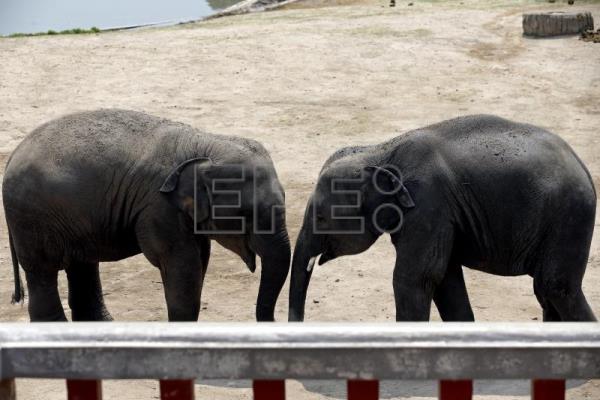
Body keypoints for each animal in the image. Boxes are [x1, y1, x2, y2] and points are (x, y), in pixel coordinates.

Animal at [1, 109, 292, 322]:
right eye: (245, 214)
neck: (205, 144)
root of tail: (13, 154)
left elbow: (200, 259)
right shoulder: (158, 209)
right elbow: (183, 267)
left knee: (82, 264)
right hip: (32, 219)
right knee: (43, 271)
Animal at [290, 113, 596, 322]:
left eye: (321, 217)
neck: (381, 151)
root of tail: (584, 167)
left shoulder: (429, 204)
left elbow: (415, 278)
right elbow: (446, 278)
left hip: (569, 218)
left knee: (555, 287)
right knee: (545, 292)